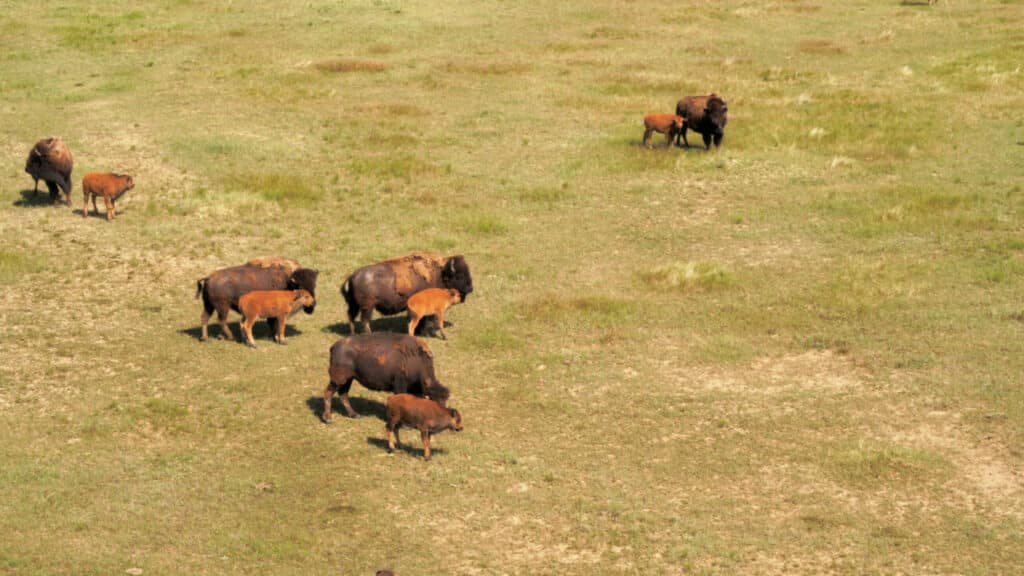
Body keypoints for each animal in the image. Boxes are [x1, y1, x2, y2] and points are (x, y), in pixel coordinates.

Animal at [341, 252, 473, 334]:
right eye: (459, 276)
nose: (470, 289)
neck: (440, 273)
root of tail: (352, 276)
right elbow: (426, 319)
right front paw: (426, 332)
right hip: (367, 307)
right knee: (364, 320)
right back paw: (369, 334)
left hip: (354, 305)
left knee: (351, 317)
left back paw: (353, 333)